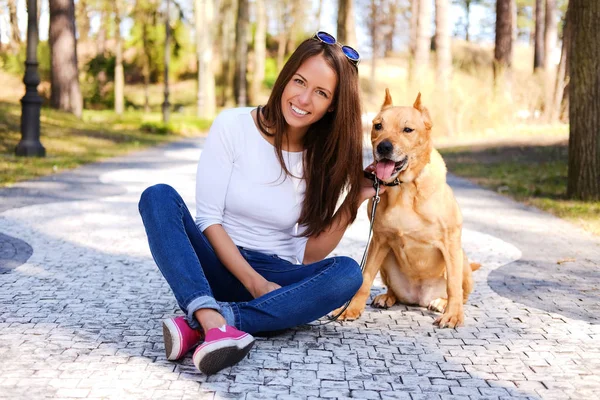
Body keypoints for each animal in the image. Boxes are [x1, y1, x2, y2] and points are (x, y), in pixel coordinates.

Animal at [336, 90, 480, 328]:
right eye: (378, 126)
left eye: (408, 130)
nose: (384, 147)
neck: (404, 188)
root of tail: (419, 298)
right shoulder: (378, 240)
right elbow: (365, 279)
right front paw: (350, 309)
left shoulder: (450, 241)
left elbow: (453, 286)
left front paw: (453, 315)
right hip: (386, 259)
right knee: (394, 291)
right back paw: (387, 297)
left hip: (462, 258)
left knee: (460, 291)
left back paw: (442, 303)